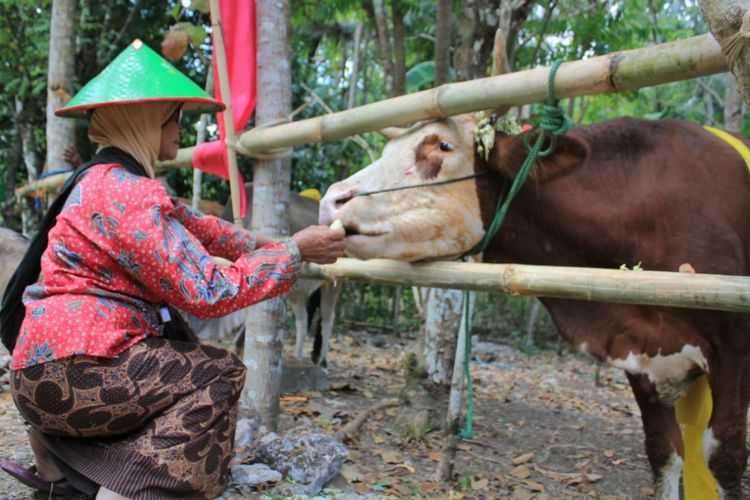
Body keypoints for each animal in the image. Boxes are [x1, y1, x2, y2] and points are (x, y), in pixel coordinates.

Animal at [320, 115, 750, 498]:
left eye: (443, 145)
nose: (331, 200)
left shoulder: (732, 349)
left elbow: (725, 458)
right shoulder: (639, 354)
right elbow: (664, 451)